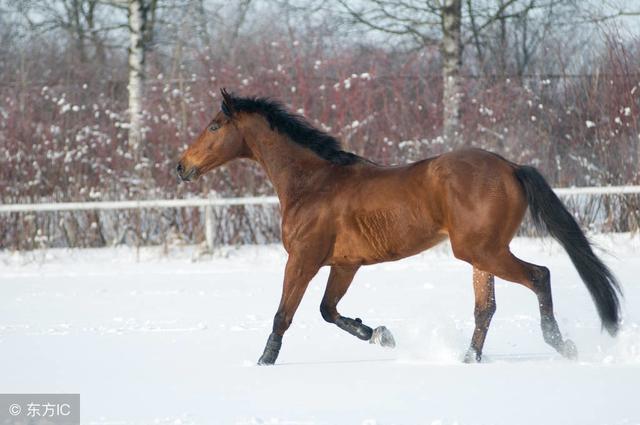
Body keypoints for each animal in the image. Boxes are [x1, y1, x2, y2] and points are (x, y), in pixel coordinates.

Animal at [175, 88, 620, 364]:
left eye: (214, 126)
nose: (181, 167)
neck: (312, 183)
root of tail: (510, 167)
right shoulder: (345, 264)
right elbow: (327, 310)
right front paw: (380, 335)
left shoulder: (302, 260)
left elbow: (284, 316)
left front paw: (263, 363)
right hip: (480, 254)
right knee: (485, 308)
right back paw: (468, 359)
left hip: (484, 251)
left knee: (539, 276)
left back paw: (560, 344)